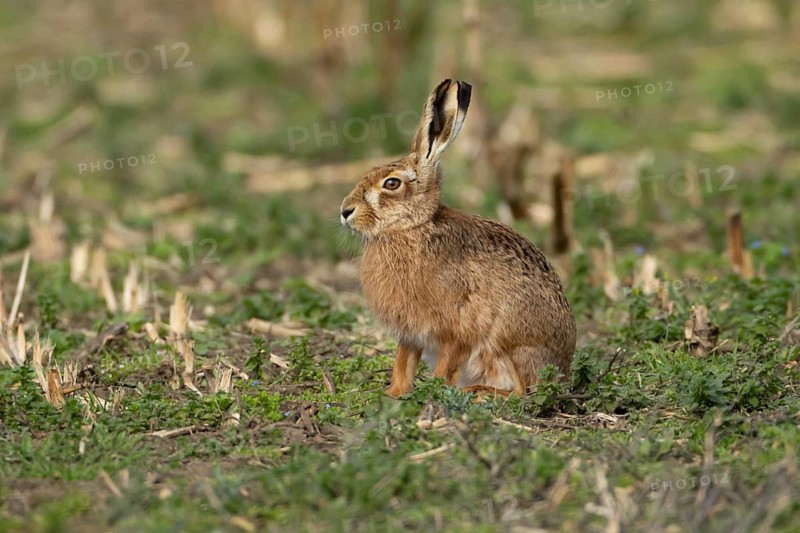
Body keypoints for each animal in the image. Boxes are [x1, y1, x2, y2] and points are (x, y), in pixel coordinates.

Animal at [340, 79, 576, 398]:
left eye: (391, 183)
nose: (345, 211)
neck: (412, 228)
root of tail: (563, 372)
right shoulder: (410, 335)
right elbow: (403, 364)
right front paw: (394, 394)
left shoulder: (457, 329)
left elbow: (446, 366)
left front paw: (434, 392)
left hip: (513, 344)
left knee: (522, 390)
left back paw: (478, 392)